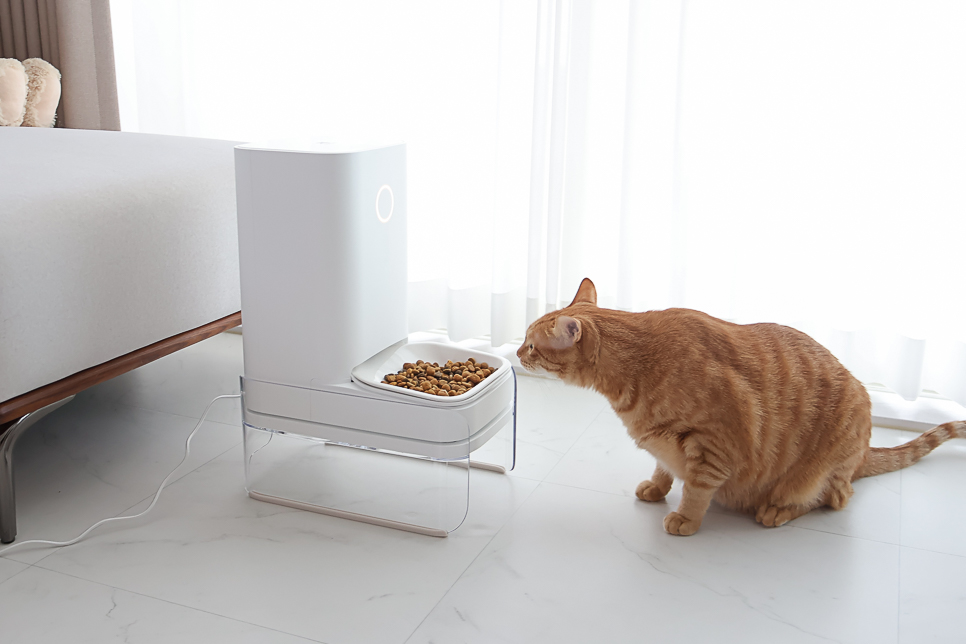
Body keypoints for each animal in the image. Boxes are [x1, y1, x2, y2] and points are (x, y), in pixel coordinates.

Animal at [517, 277, 966, 535]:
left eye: (532, 345)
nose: (518, 352)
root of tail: (862, 452)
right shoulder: (666, 441)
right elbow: (663, 467)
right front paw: (657, 488)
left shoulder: (714, 446)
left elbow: (696, 490)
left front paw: (686, 519)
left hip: (822, 471)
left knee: (836, 497)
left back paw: (778, 510)